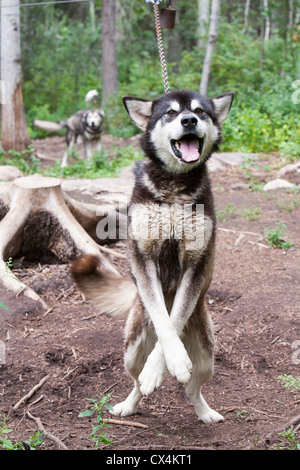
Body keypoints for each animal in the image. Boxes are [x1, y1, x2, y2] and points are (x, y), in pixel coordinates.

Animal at [71, 88, 234, 422]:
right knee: (136, 382)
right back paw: (129, 404)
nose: (189, 120)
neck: (174, 188)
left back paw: (205, 412)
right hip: (131, 352)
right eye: (170, 113)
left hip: (207, 359)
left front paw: (172, 363)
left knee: (192, 389)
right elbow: (163, 320)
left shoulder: (196, 264)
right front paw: (162, 366)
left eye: (200, 111)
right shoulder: (142, 258)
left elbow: (174, 318)